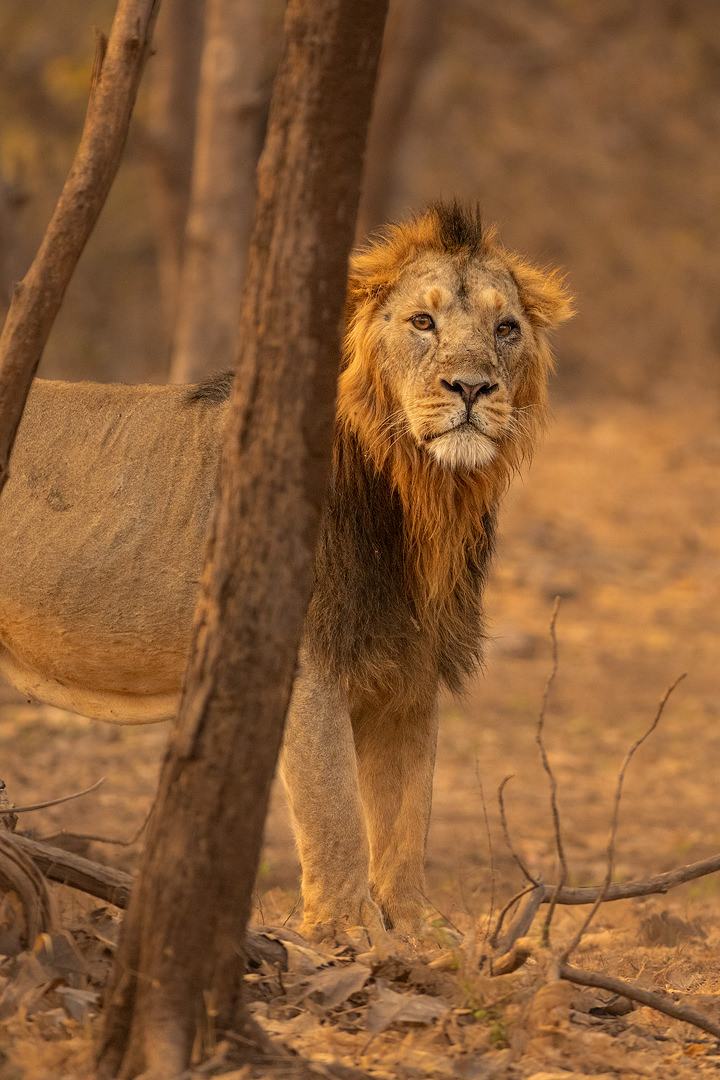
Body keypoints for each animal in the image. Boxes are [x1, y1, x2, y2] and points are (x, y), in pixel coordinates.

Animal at [1, 203, 574, 937]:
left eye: (506, 330)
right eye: (423, 322)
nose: (473, 388)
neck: (421, 498)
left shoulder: (410, 672)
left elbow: (405, 812)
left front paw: (417, 929)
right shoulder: (305, 661)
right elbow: (335, 814)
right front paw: (350, 933)